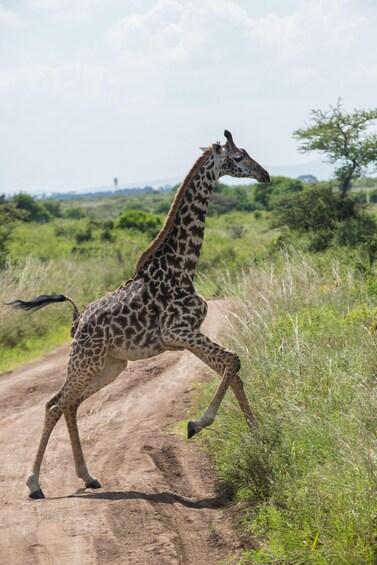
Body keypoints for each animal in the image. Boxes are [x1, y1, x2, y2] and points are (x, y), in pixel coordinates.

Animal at [9, 129, 270, 498]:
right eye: (238, 157)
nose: (266, 175)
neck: (184, 266)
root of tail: (76, 321)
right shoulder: (179, 331)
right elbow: (233, 361)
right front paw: (196, 425)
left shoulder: (187, 336)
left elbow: (231, 369)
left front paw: (259, 436)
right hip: (87, 359)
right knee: (54, 404)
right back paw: (34, 483)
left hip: (112, 365)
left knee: (69, 404)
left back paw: (87, 476)